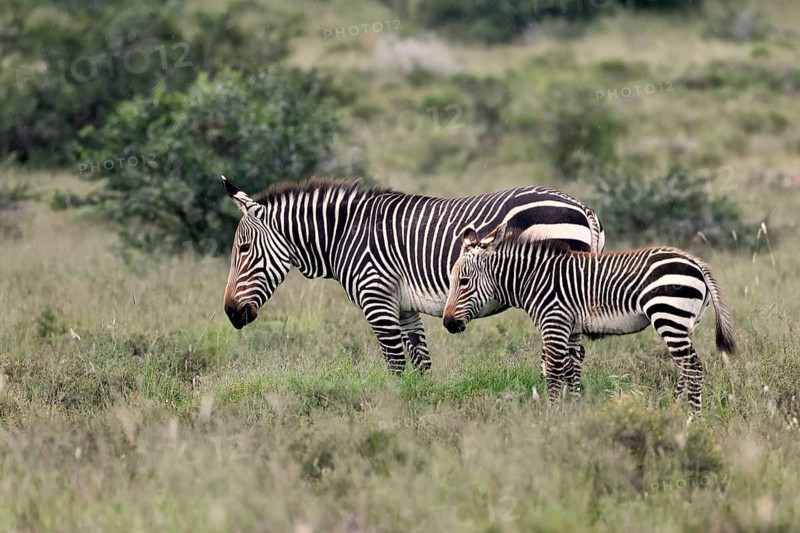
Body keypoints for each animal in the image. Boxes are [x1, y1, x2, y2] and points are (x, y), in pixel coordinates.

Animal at [221, 176, 605, 373]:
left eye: (244, 249)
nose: (229, 312)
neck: (343, 234)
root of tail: (582, 208)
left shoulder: (376, 299)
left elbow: (395, 364)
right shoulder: (404, 307)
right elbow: (421, 364)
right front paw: (419, 406)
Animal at [442, 223, 736, 414]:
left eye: (463, 281)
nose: (448, 324)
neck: (533, 279)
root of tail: (696, 262)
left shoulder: (555, 322)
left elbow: (553, 371)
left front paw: (551, 417)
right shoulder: (571, 328)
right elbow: (572, 370)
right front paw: (573, 412)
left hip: (668, 315)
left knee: (692, 368)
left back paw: (690, 421)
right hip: (685, 323)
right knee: (684, 368)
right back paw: (673, 412)